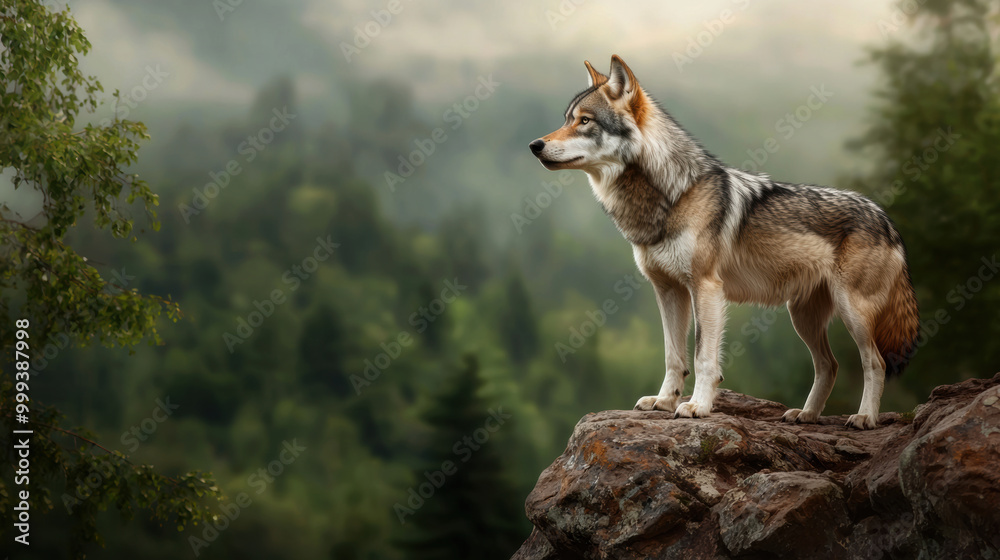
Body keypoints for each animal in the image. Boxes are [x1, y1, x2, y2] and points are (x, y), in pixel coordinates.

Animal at [529, 55, 919, 429]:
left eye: (585, 121)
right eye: (566, 119)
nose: (535, 145)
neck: (673, 195)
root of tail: (886, 220)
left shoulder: (706, 288)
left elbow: (703, 357)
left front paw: (697, 406)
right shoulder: (668, 290)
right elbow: (673, 356)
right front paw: (664, 401)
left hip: (852, 314)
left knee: (875, 363)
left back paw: (864, 418)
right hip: (802, 317)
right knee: (829, 365)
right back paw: (806, 415)